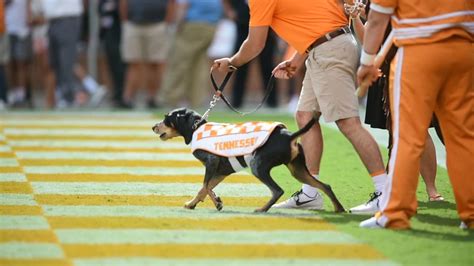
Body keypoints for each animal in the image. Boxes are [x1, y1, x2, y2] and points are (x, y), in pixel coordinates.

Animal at [154, 107, 346, 213]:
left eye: (166, 118)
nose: (153, 127)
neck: (196, 128)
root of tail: (289, 135)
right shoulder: (221, 172)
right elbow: (204, 189)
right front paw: (192, 204)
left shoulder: (212, 162)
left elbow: (206, 186)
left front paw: (217, 202)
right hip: (298, 170)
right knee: (325, 186)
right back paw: (339, 209)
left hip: (257, 166)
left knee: (277, 190)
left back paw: (262, 209)